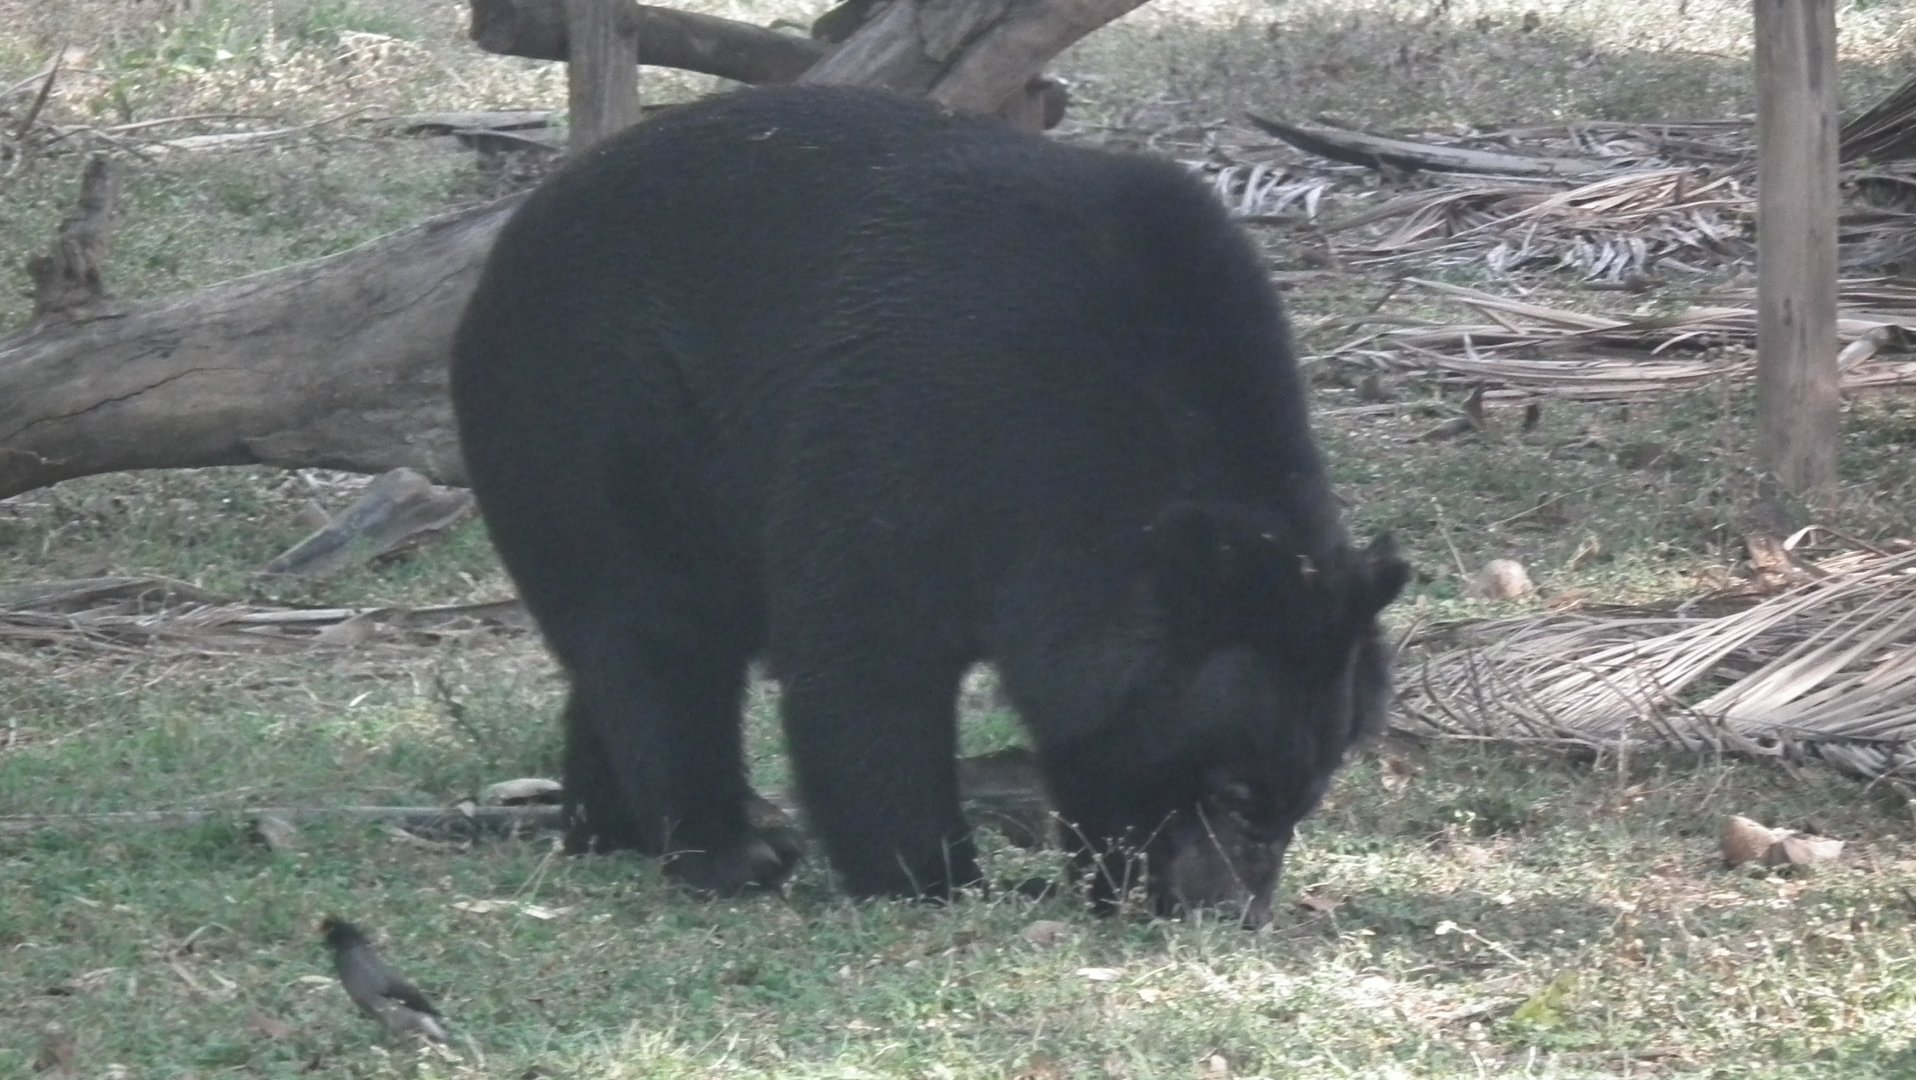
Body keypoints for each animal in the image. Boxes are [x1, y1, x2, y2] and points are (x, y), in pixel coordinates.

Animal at [449, 84, 1408, 925]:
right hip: (601, 417)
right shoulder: (917, 421)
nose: (1232, 912)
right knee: (661, 633)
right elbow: (867, 654)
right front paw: (931, 876)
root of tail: (506, 247)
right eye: (1235, 791)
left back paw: (602, 824)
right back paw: (729, 849)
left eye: (1304, 796)